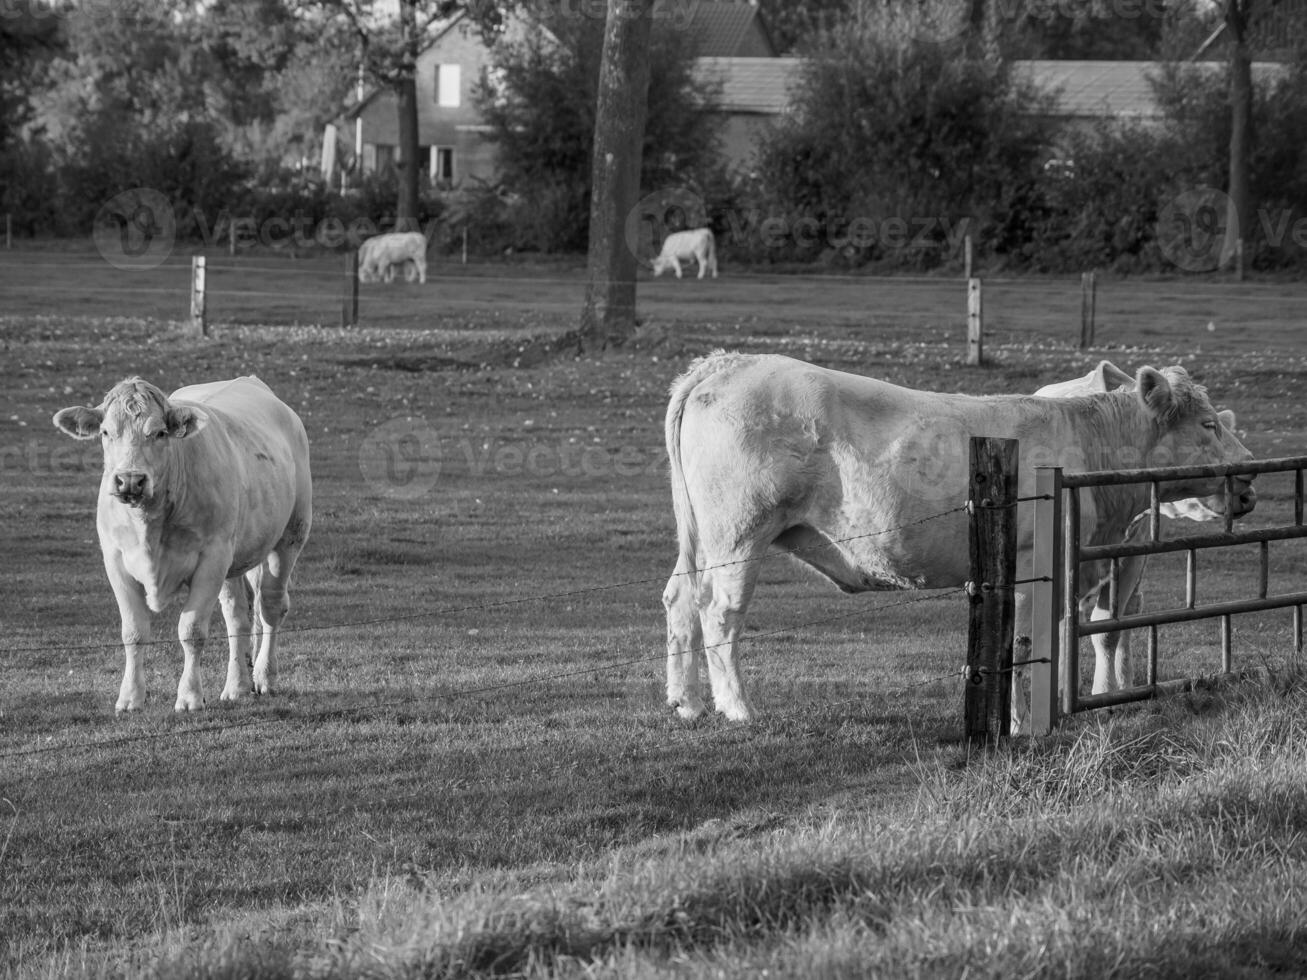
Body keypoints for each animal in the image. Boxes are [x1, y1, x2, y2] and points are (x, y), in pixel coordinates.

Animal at [54, 376, 314, 716]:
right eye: (106, 432)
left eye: (160, 432)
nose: (129, 480)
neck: (149, 523)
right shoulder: (116, 561)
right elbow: (133, 631)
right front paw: (130, 697)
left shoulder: (211, 560)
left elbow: (191, 630)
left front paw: (190, 696)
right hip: (233, 557)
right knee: (237, 616)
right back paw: (237, 686)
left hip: (289, 536)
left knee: (271, 606)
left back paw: (263, 677)